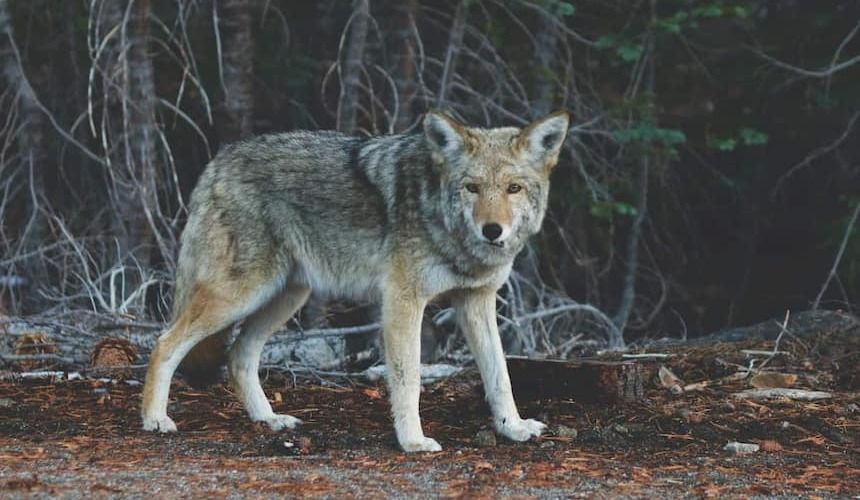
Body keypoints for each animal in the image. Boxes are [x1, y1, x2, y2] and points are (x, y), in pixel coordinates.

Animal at [141, 110, 570, 452]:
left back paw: (269, 420)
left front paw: (513, 428)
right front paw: (413, 442)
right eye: (472, 187)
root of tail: (219, 160)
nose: (492, 230)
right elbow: (409, 379)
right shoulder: (403, 302)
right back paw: (155, 419)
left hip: (286, 297)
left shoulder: (476, 301)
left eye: (513, 188)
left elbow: (500, 376)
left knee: (238, 356)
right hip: (240, 295)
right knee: (165, 343)